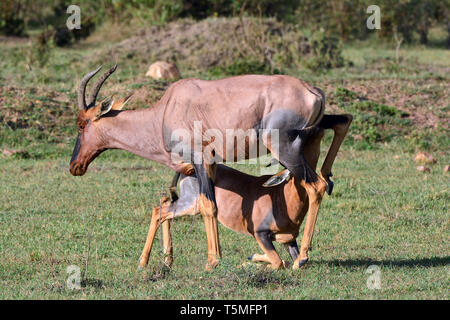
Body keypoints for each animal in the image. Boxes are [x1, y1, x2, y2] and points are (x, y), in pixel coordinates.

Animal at [70, 64, 330, 270]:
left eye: (82, 124)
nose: (75, 166)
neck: (165, 111)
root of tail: (313, 91)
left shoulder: (200, 157)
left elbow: (208, 205)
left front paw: (213, 261)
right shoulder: (209, 164)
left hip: (285, 148)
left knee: (317, 186)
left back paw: (302, 257)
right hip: (308, 146)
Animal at [138, 114, 352, 268]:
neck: (281, 198)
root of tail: (188, 170)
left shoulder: (289, 241)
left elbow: (290, 262)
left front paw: (251, 259)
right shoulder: (260, 233)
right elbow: (279, 262)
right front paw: (248, 262)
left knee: (164, 204)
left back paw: (167, 259)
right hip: (190, 205)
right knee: (159, 211)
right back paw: (143, 263)